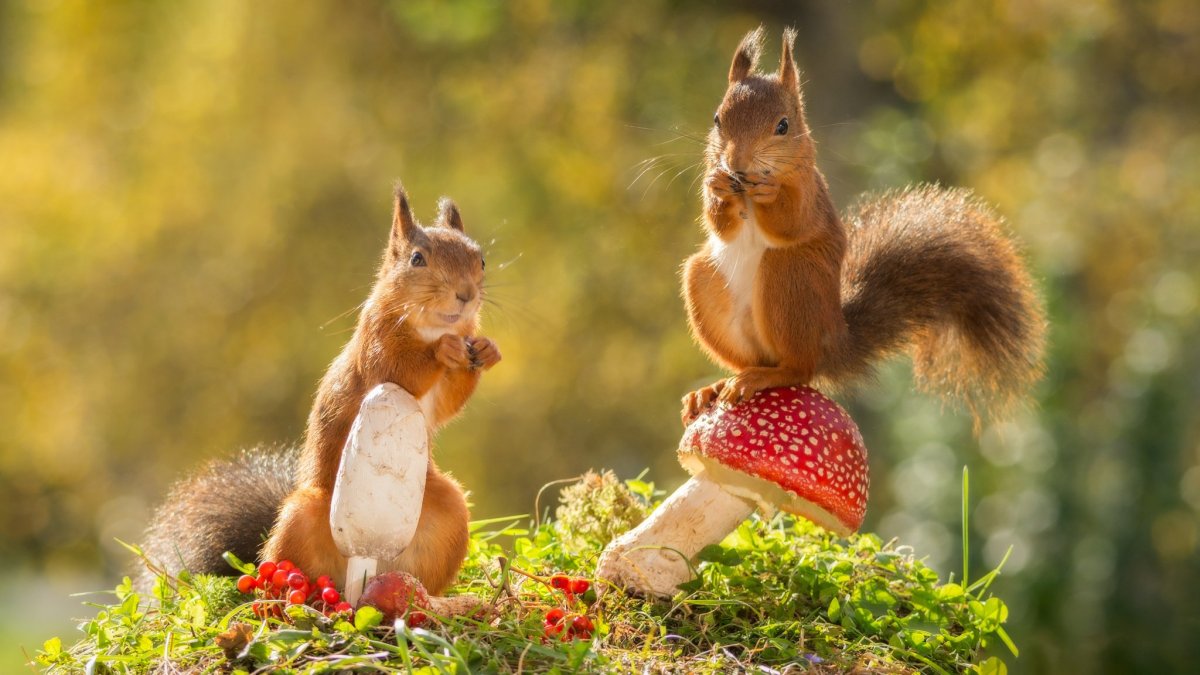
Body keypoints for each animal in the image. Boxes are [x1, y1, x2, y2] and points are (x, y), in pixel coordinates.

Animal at [139, 183, 500, 595]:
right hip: (303, 518)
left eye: (481, 260)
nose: (466, 294)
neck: (431, 326)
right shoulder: (375, 348)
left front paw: (486, 350)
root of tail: (360, 570)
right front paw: (444, 349)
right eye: (417, 259)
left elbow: (449, 402)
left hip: (447, 514)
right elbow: (402, 369)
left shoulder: (440, 391)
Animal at [680, 27, 1045, 426]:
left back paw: (764, 377)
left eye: (783, 126)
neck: (746, 187)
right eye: (717, 118)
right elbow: (721, 226)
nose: (737, 163)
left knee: (798, 368)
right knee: (751, 360)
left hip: (789, 278)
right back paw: (715, 388)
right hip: (704, 282)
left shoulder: (810, 193)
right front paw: (716, 185)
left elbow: (791, 221)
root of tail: (833, 343)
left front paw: (769, 192)